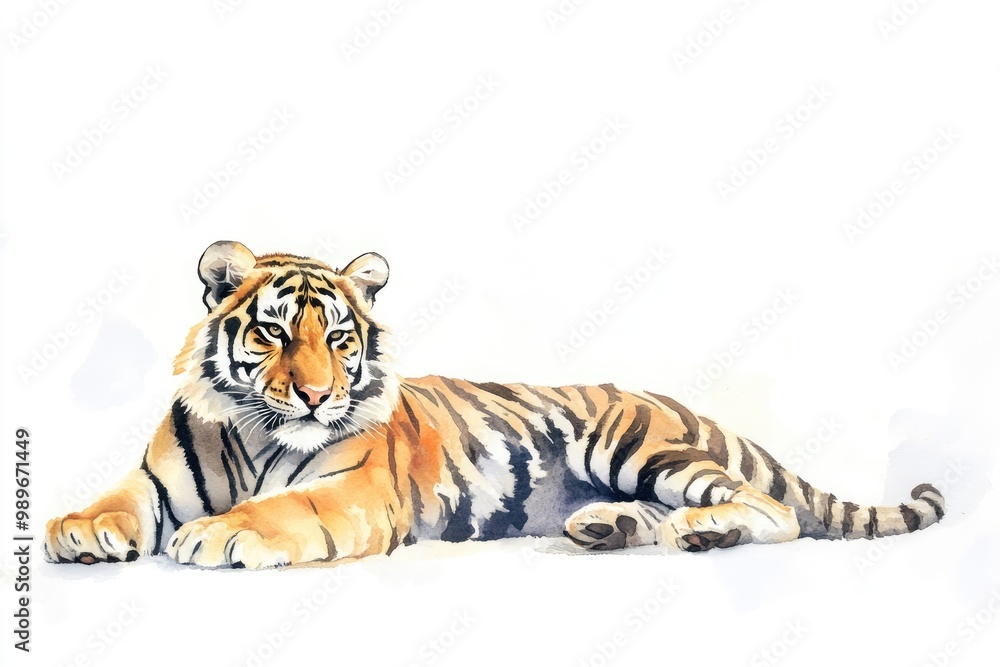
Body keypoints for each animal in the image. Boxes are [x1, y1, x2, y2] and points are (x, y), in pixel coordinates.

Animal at [45, 241, 946, 569]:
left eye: (337, 337)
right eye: (270, 333)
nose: (316, 394)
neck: (257, 430)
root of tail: (678, 402)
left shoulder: (352, 491)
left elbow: (281, 507)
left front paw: (219, 533)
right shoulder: (156, 478)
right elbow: (115, 499)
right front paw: (76, 530)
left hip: (635, 446)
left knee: (772, 508)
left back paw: (702, 531)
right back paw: (609, 528)